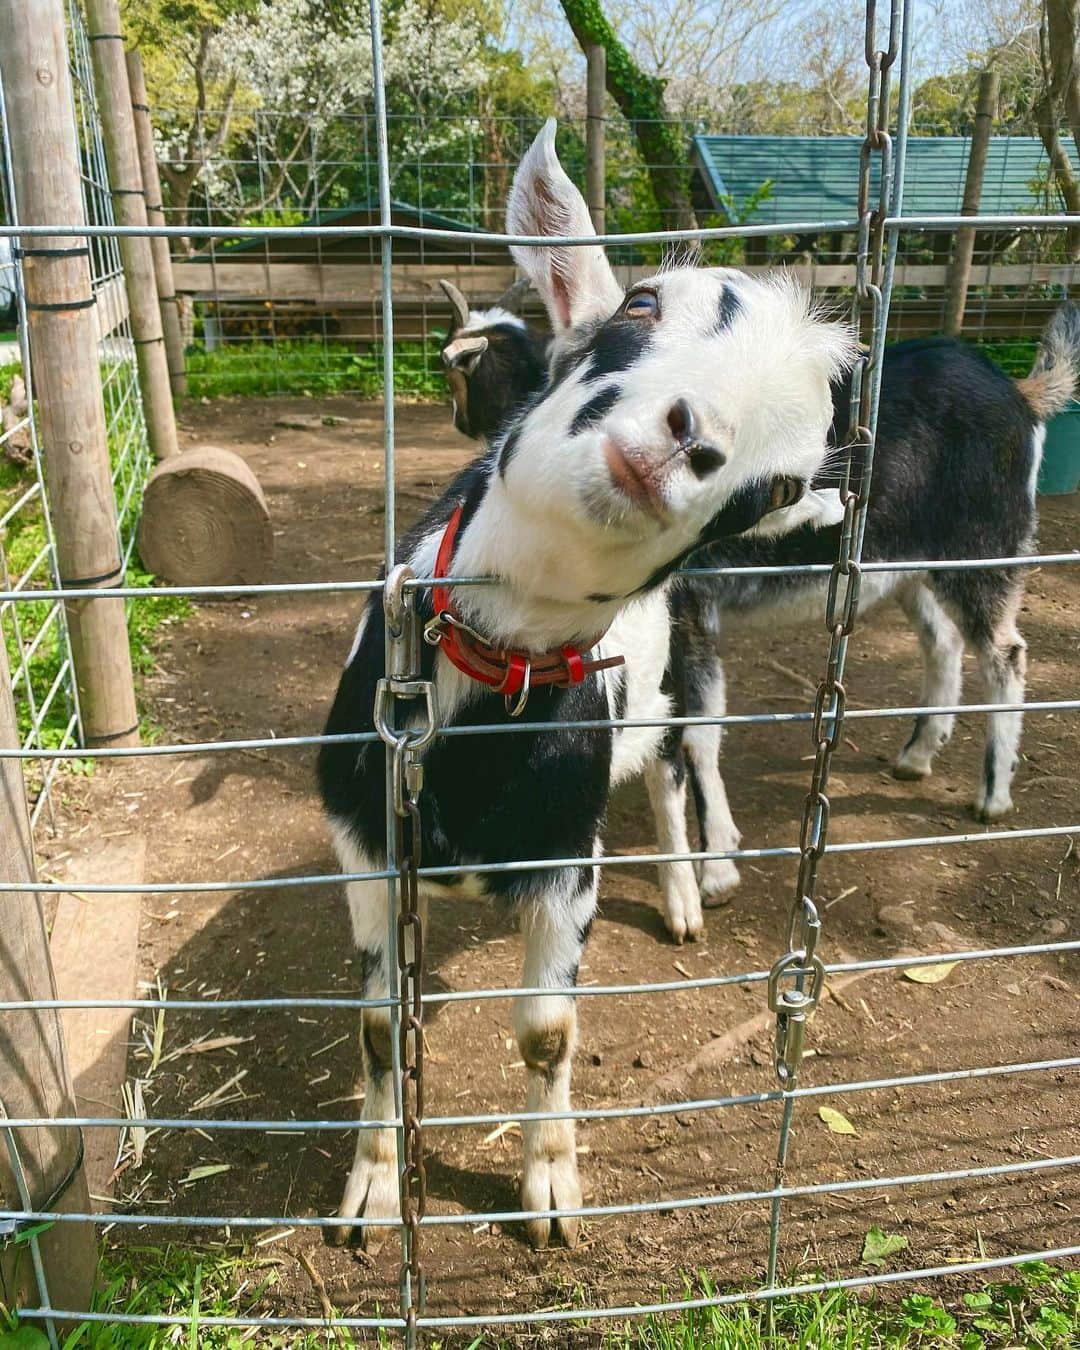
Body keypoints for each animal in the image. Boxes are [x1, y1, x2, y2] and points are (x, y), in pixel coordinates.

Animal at [315, 121, 858, 1247]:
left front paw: (551, 1188)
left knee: (679, 772)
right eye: (642, 304)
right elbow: (380, 1027)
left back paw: (695, 887)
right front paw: (372, 1191)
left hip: (686, 675)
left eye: (783, 482)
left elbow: (548, 1033)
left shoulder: (568, 858)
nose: (691, 443)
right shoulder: (361, 835)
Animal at [432, 255, 1080, 918]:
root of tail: (1022, 396)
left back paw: (993, 792)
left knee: (1006, 652)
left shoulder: (688, 611)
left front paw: (715, 865)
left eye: (457, 373)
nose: (457, 419)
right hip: (907, 561)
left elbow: (700, 731)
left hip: (985, 542)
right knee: (941, 642)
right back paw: (919, 754)